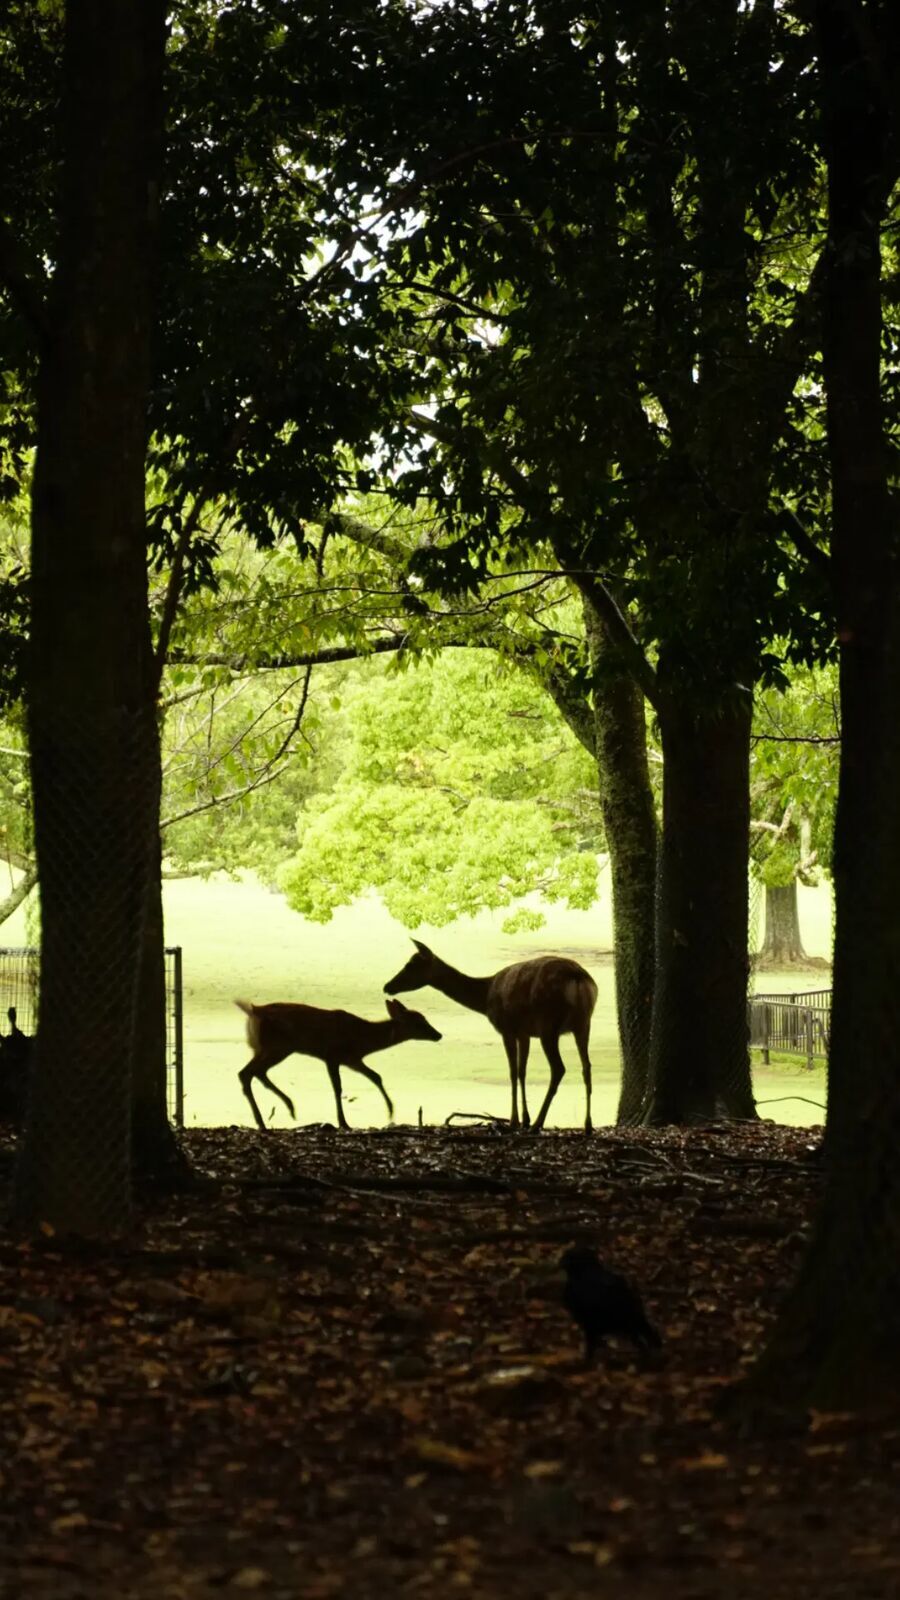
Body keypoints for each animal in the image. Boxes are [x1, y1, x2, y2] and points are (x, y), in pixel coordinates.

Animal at [235, 995, 442, 1131]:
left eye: (424, 1018)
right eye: (418, 1022)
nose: (438, 1035)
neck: (363, 1038)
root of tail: (253, 1010)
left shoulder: (352, 1059)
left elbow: (376, 1076)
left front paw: (391, 1111)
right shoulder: (333, 1055)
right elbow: (337, 1087)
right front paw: (343, 1123)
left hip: (269, 1048)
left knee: (253, 1072)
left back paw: (286, 1109)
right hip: (277, 1046)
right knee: (248, 1073)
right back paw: (267, 1121)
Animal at [384, 939, 597, 1132]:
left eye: (411, 965)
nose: (387, 986)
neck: (485, 995)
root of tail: (578, 978)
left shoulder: (506, 1028)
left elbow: (512, 1072)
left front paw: (515, 1121)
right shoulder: (524, 1032)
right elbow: (522, 1071)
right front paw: (524, 1119)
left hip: (548, 1025)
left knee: (559, 1068)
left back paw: (538, 1124)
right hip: (583, 1024)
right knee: (586, 1067)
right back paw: (587, 1125)